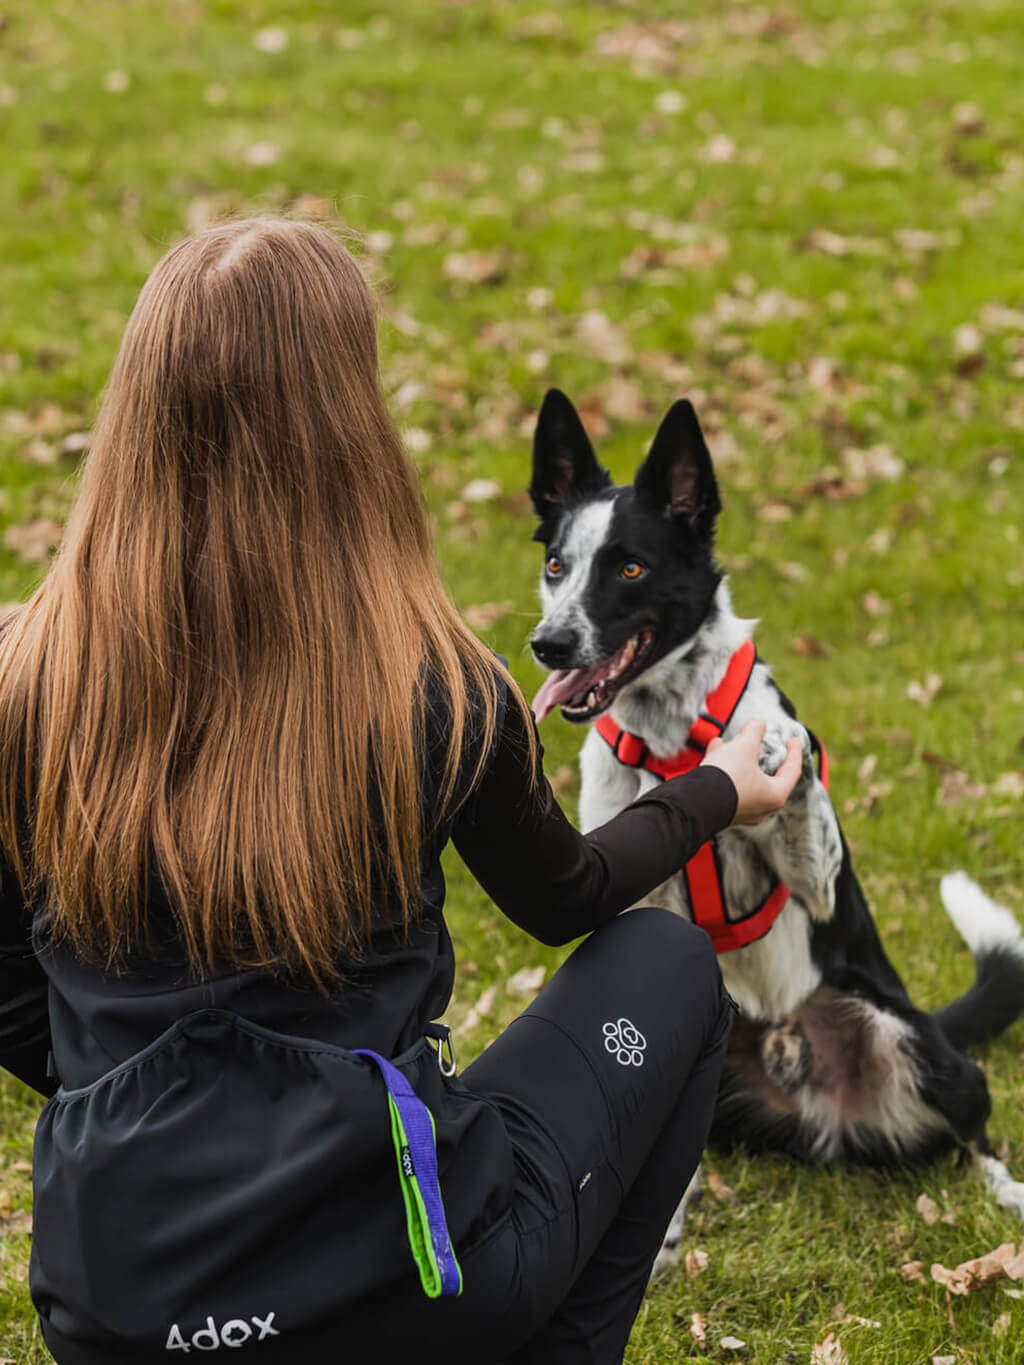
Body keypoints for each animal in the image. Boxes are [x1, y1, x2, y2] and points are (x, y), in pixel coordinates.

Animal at [529, 387, 1024, 1266]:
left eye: (630, 566)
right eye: (557, 564)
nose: (548, 644)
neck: (672, 738)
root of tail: (810, 1089)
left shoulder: (816, 880)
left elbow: (798, 777)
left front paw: (774, 743)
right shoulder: (629, 896)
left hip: (918, 1045)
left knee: (974, 1129)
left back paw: (1008, 1193)